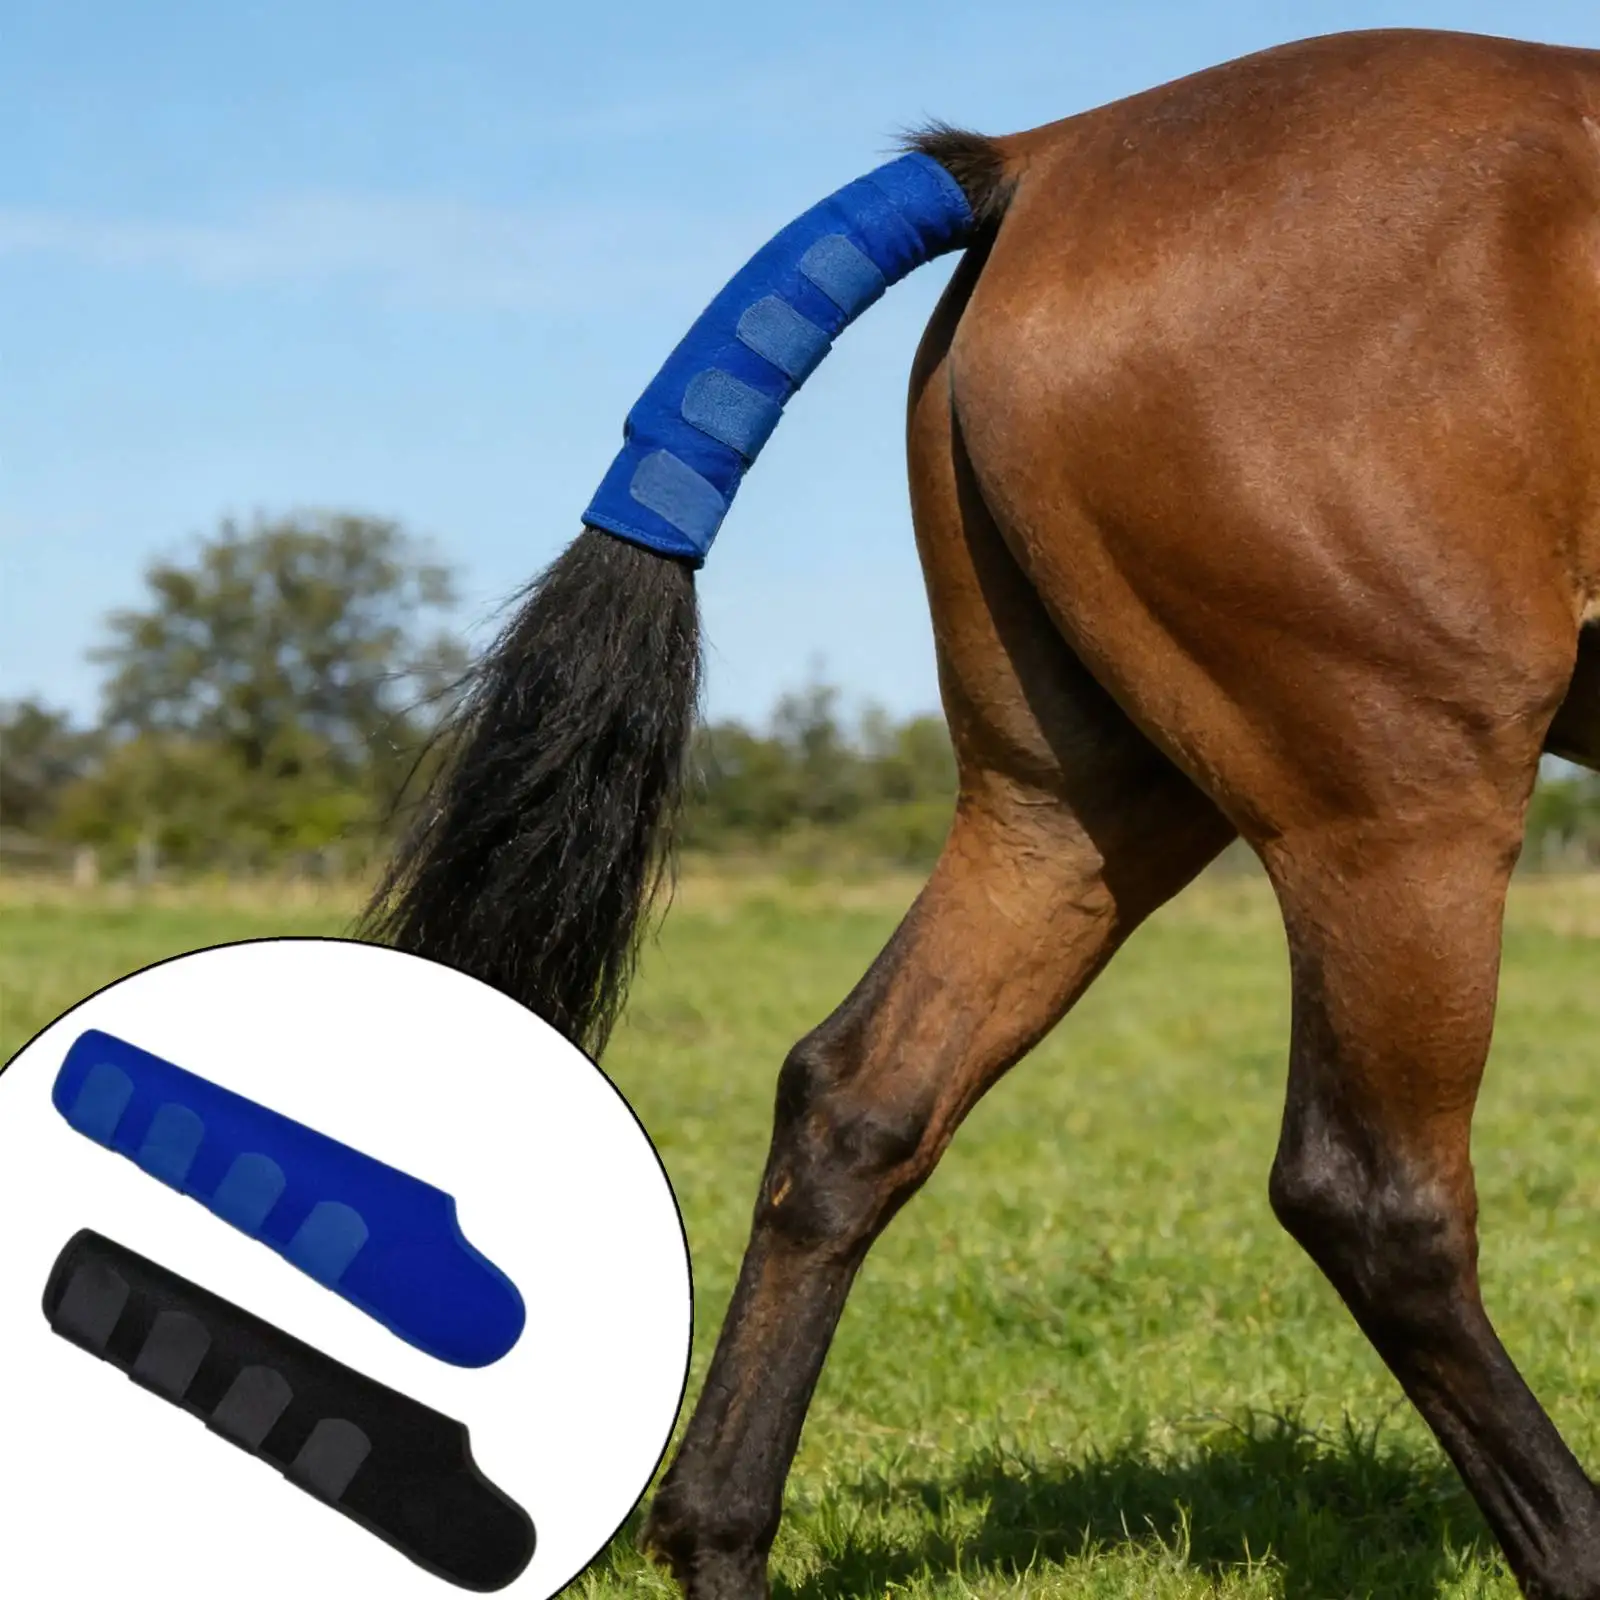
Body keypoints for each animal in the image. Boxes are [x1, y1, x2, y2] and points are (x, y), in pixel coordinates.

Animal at [363, 27, 1600, 1599]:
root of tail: (1042, 158)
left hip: (1072, 812)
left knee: (858, 1096)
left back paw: (720, 1536)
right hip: (1398, 805)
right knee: (1373, 1195)